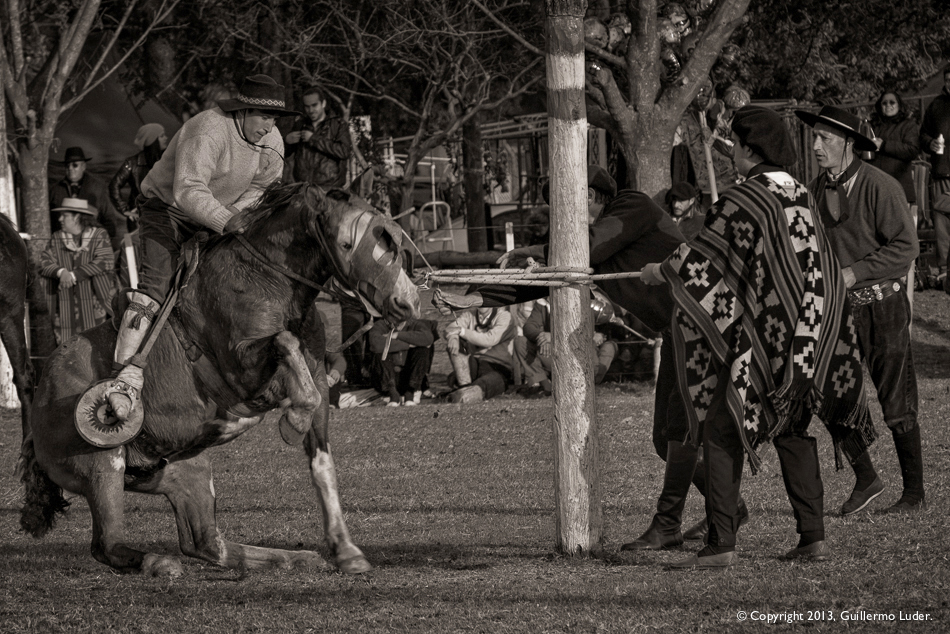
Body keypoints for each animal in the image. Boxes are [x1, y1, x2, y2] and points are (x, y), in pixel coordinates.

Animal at [17, 180, 420, 576]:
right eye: (348, 243)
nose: (407, 303)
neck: (267, 282)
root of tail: (40, 405)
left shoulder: (318, 379)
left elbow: (322, 462)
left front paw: (346, 551)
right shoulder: (245, 374)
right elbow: (285, 344)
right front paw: (293, 421)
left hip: (185, 469)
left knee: (207, 544)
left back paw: (294, 558)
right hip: (102, 466)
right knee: (108, 545)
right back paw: (161, 562)